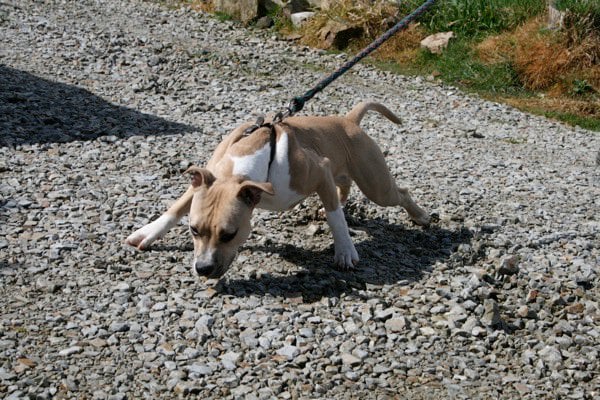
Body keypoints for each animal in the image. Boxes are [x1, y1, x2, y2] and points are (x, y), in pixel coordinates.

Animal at [125, 102, 432, 278]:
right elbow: (176, 207)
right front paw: (147, 232)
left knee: (398, 192)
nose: (203, 270)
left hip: (375, 185)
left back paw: (421, 216)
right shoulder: (205, 177)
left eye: (229, 234)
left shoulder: (319, 170)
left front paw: (345, 250)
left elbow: (336, 219)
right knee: (342, 187)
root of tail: (348, 120)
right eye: (193, 230)